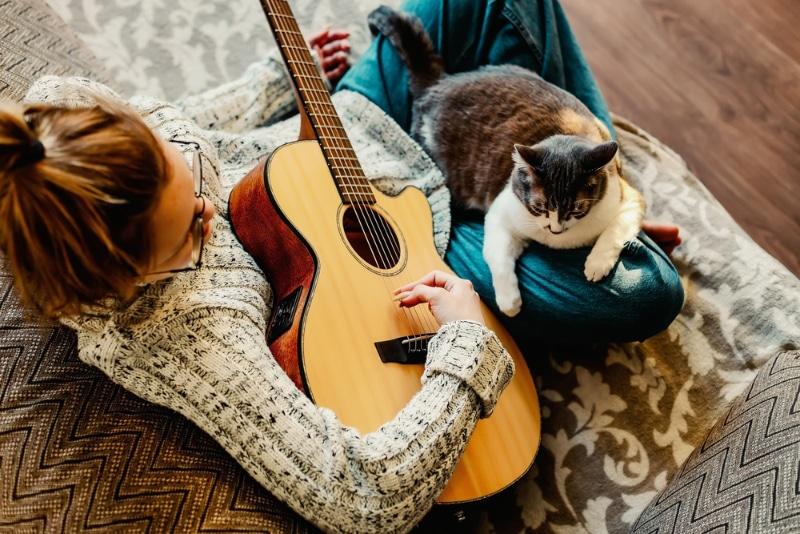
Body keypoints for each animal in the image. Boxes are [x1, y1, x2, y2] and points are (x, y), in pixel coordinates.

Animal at [368, 5, 644, 318]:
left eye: (576, 210)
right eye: (539, 207)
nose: (554, 229)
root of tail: (438, 83)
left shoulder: (627, 196)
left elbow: (617, 229)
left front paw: (597, 264)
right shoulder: (502, 212)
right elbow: (497, 256)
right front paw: (509, 303)